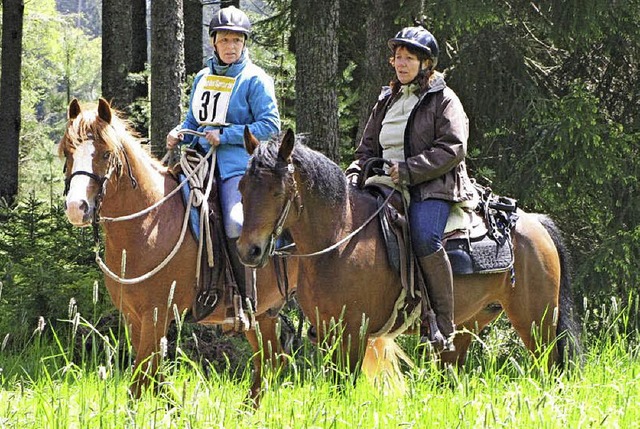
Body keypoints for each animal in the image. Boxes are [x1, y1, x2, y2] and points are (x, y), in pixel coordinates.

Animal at [58, 98, 298, 402]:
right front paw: (175, 405)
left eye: (105, 154)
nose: (77, 208)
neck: (149, 222)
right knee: (271, 360)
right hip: (263, 314)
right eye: (68, 152)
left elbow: (140, 381)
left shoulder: (156, 314)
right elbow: (153, 376)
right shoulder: (133, 317)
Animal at [238, 128, 584, 382]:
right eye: (242, 188)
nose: (249, 250)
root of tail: (534, 221)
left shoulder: (353, 333)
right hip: (469, 325)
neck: (340, 238)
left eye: (278, 192)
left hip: (538, 323)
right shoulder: (327, 333)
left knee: (551, 370)